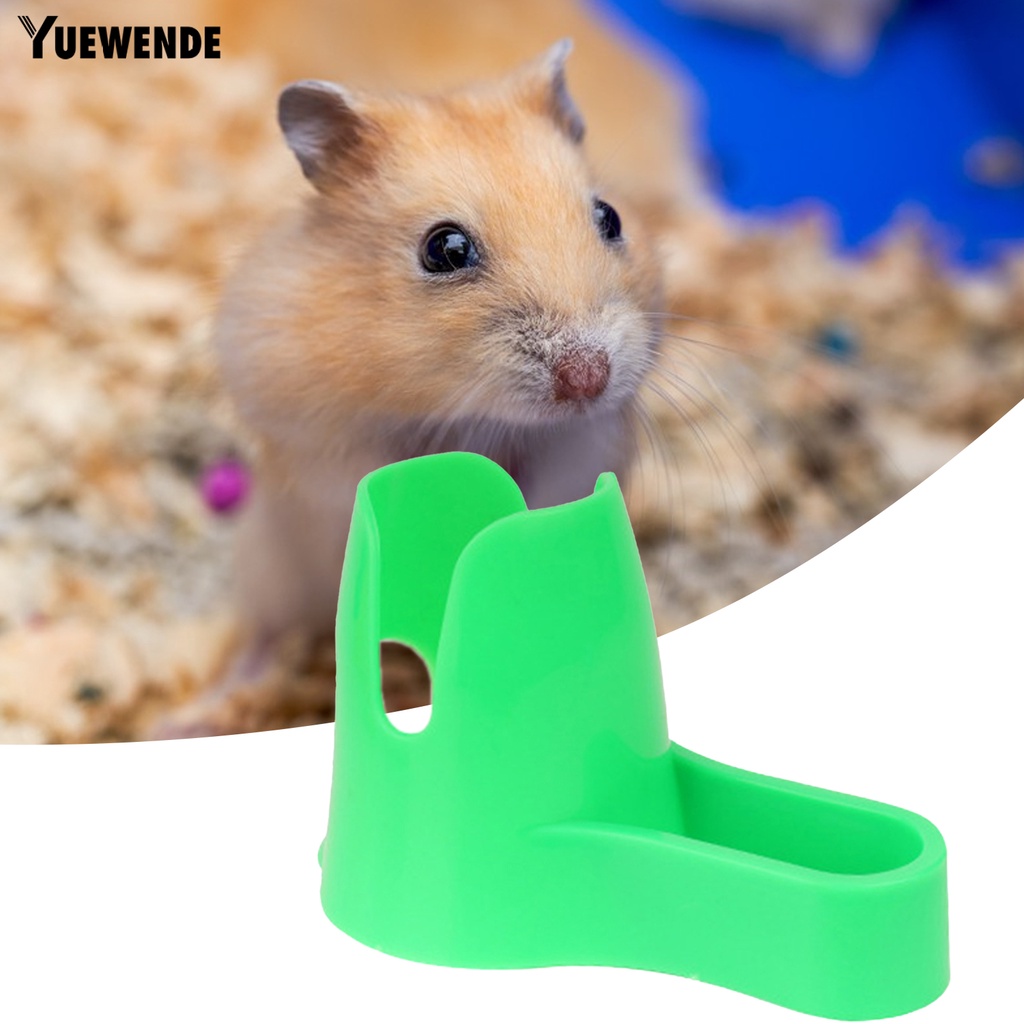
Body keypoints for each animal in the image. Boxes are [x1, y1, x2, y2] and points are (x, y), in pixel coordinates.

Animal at [191, 42, 668, 726]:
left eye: (610, 217)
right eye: (445, 249)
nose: (588, 379)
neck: (470, 415)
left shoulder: (583, 443)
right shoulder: (309, 427)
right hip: (268, 572)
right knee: (262, 638)